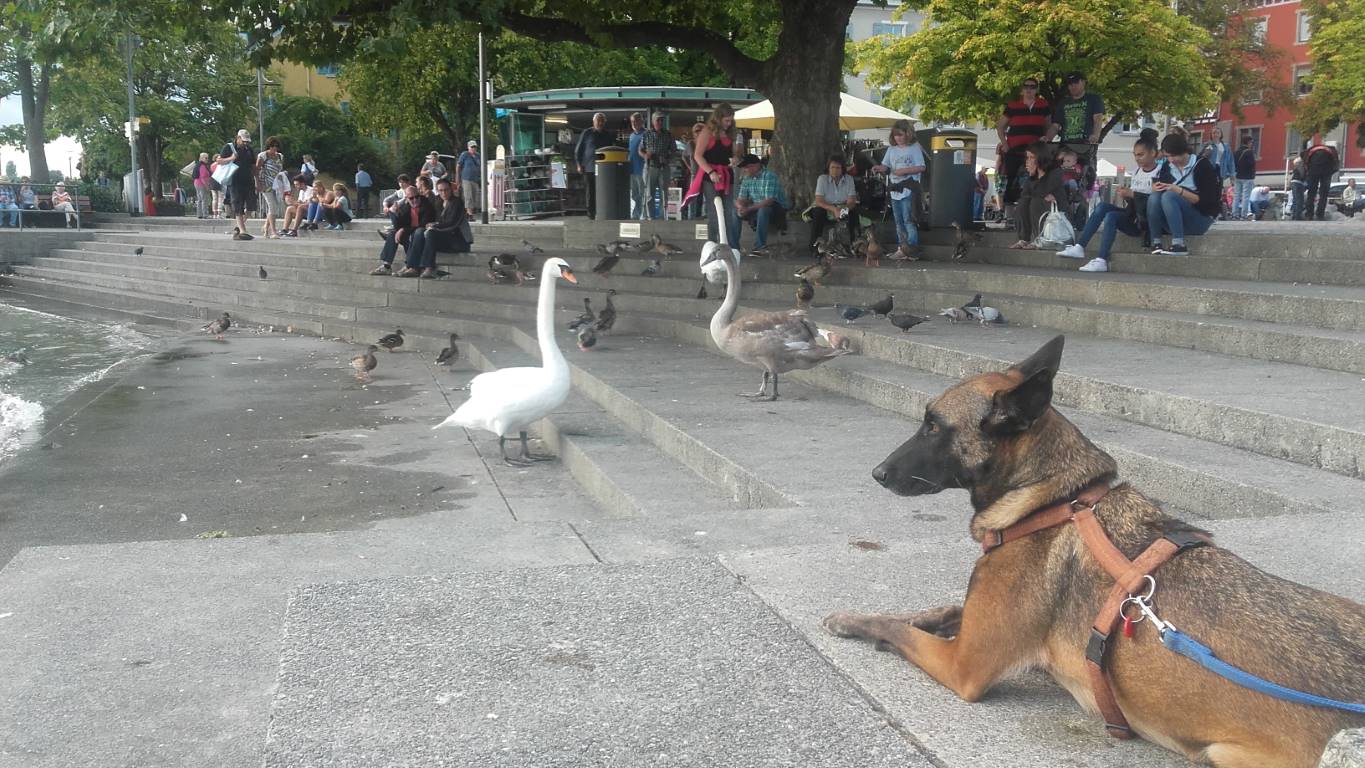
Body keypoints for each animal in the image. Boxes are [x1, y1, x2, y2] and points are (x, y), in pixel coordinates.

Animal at [819, 338, 1365, 768]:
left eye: (933, 426)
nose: (877, 474)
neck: (1054, 500)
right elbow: (936, 609)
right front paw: (894, 615)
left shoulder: (963, 666)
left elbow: (900, 631)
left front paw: (857, 625)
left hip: (1225, 755)